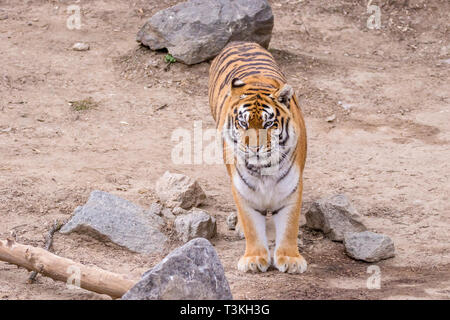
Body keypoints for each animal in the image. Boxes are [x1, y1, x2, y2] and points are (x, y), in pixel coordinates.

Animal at [208, 41, 308, 274]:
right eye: (243, 123)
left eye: (268, 124)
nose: (254, 148)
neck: (264, 168)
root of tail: (240, 41)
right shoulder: (243, 190)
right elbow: (252, 226)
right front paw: (254, 259)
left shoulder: (292, 188)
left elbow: (289, 225)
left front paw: (290, 259)